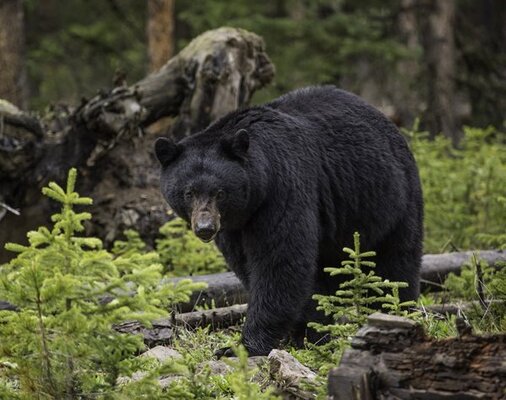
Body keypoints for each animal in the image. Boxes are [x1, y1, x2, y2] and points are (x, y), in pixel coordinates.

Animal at [154, 85, 422, 356]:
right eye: (188, 192)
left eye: (220, 192)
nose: (205, 228)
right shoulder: (234, 227)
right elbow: (248, 265)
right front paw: (305, 333)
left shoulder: (283, 190)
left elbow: (280, 262)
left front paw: (243, 345)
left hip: (391, 201)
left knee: (395, 264)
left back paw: (395, 312)